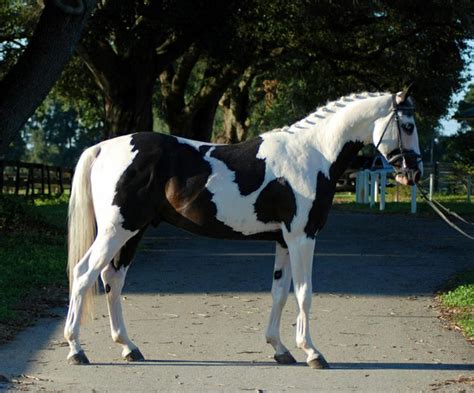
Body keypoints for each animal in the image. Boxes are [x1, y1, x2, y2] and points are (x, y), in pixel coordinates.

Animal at [63, 86, 422, 368]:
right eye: (407, 125)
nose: (414, 173)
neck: (312, 154)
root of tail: (102, 148)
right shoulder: (302, 238)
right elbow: (304, 293)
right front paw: (312, 353)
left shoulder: (283, 241)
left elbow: (280, 292)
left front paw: (280, 349)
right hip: (117, 231)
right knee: (84, 274)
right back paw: (76, 350)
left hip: (134, 232)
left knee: (112, 279)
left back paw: (128, 347)